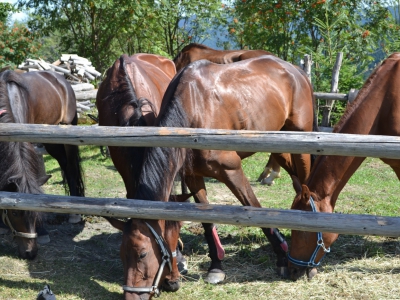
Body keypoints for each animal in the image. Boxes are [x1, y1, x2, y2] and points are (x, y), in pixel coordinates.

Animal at [0, 70, 85, 224]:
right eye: (13, 213)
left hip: (68, 131)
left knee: (71, 169)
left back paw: (74, 214)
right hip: (51, 140)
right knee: (64, 164)